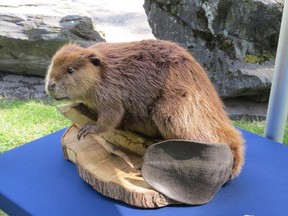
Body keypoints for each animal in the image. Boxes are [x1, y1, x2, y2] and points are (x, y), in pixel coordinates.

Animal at [46, 39, 244, 178]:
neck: (103, 70)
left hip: (172, 110)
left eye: (70, 70)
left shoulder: (109, 90)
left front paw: (88, 129)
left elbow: (112, 116)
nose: (50, 86)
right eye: (52, 64)